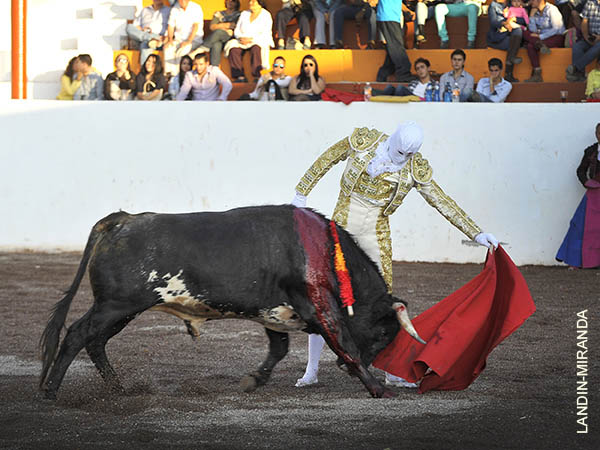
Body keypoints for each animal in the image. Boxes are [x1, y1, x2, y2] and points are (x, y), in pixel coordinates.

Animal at [39, 206, 424, 400]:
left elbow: (279, 348)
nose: (344, 370)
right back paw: (49, 391)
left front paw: (253, 380)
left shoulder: (274, 311)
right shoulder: (319, 306)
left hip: (121, 310)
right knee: (78, 334)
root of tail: (121, 220)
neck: (324, 250)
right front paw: (376, 387)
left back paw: (118, 388)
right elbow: (345, 342)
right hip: (115, 305)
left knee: (95, 341)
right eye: (384, 334)